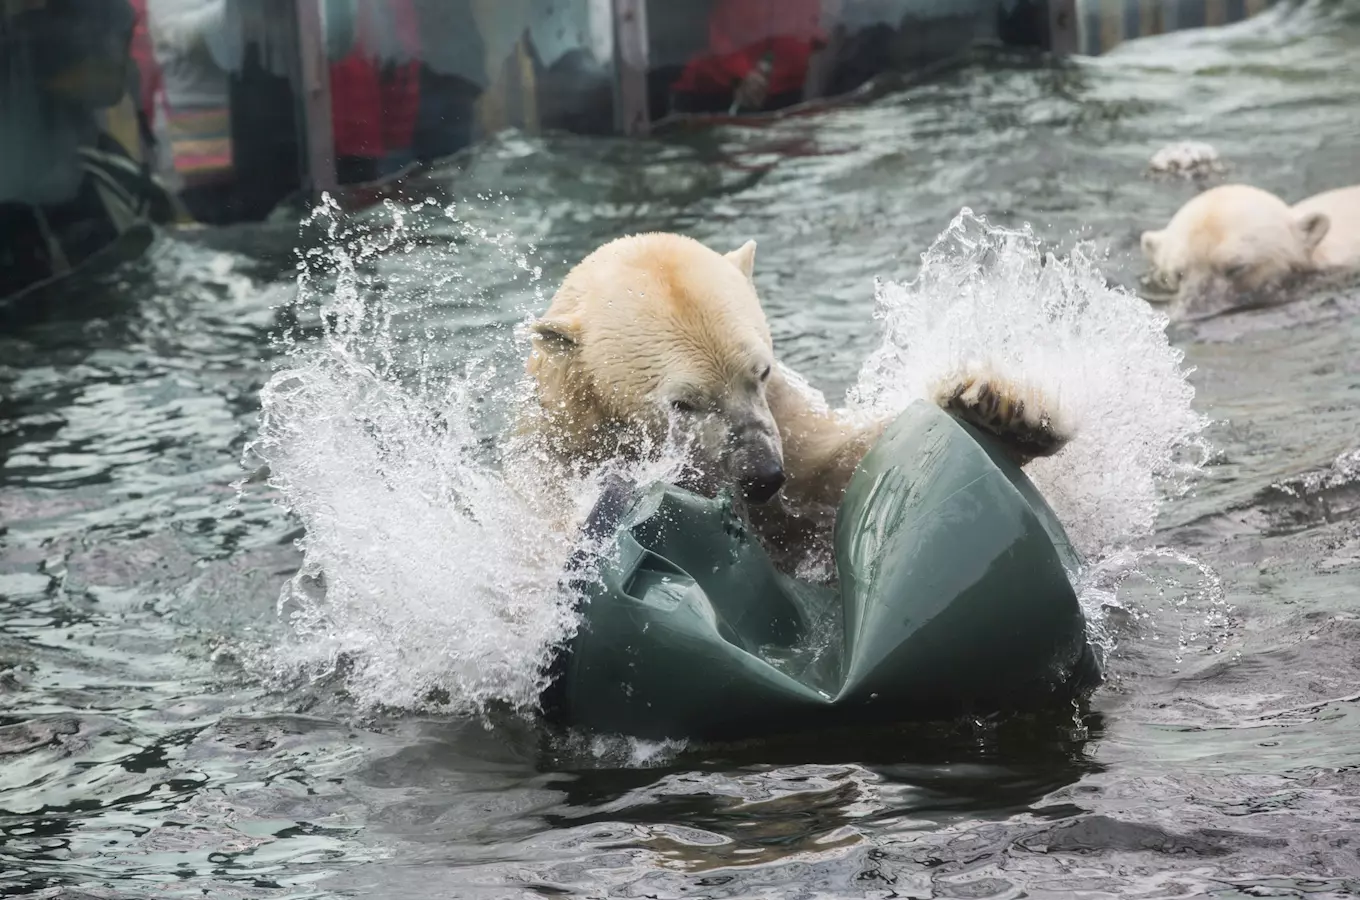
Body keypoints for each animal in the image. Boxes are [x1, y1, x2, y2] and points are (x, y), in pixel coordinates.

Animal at [519, 233, 1071, 570]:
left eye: (760, 371)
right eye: (683, 404)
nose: (761, 475)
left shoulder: (784, 419)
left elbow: (833, 477)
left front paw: (1002, 410)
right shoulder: (557, 454)